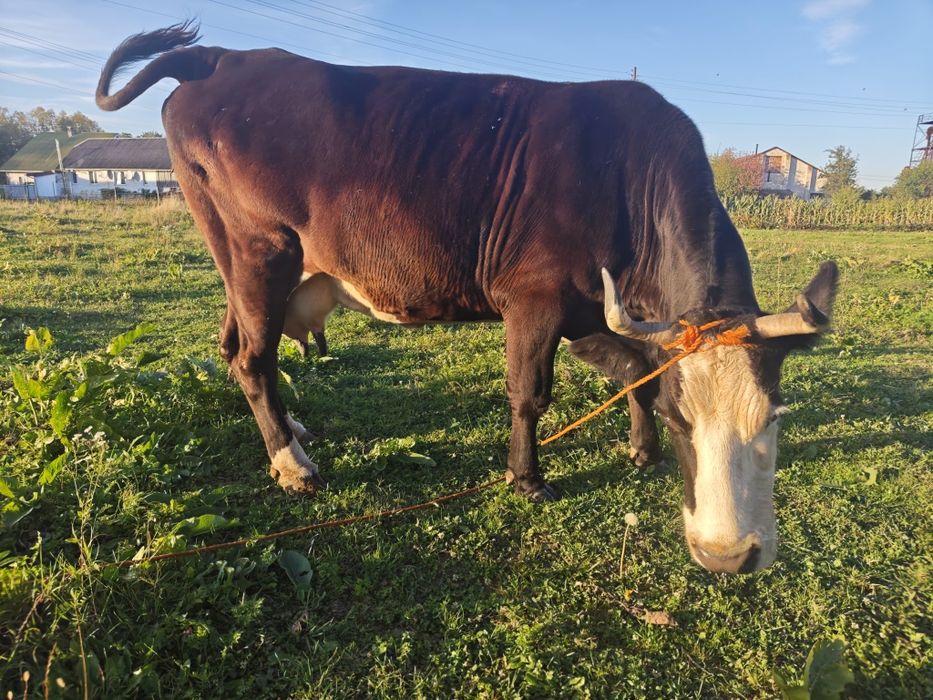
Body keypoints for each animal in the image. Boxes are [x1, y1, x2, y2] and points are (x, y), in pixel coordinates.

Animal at [97, 22, 837, 574]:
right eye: (688, 423)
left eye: (773, 416)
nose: (728, 556)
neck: (626, 179)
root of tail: (220, 58)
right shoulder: (535, 299)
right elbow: (529, 393)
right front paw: (527, 478)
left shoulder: (589, 311)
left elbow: (634, 368)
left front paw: (639, 449)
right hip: (260, 252)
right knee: (252, 357)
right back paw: (293, 464)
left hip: (250, 266)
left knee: (235, 347)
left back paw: (294, 430)